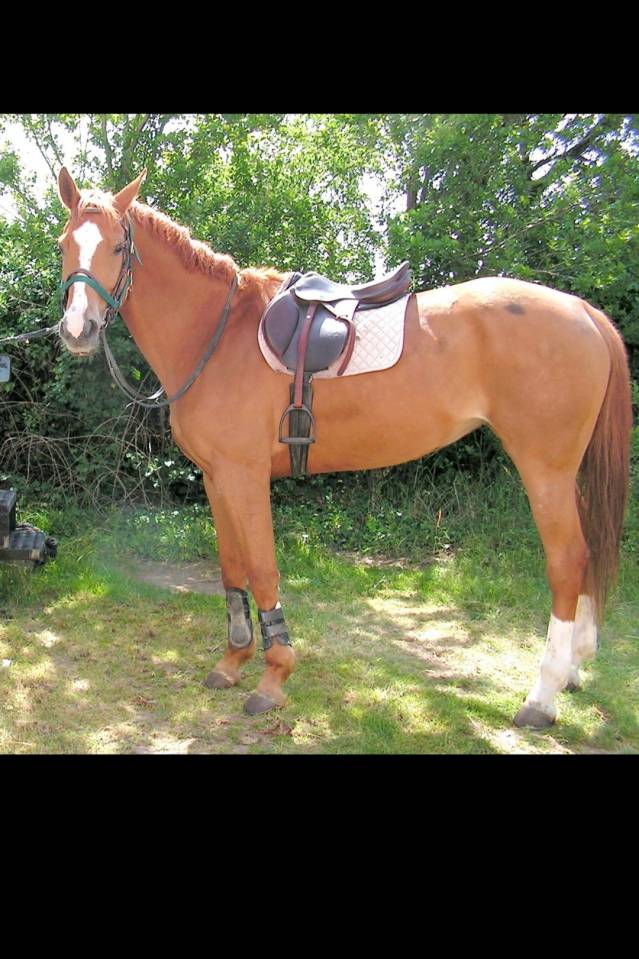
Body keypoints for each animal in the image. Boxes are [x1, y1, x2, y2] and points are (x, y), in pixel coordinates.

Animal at [55, 167, 633, 727]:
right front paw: (233, 661)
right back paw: (574, 670)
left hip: (544, 468)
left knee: (567, 561)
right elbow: (232, 568)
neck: (216, 335)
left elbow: (263, 568)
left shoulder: (244, 475)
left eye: (116, 247)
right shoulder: (217, 477)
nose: (78, 330)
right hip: (569, 472)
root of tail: (581, 309)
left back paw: (543, 695)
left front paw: (273, 678)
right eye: (64, 244)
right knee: (586, 553)